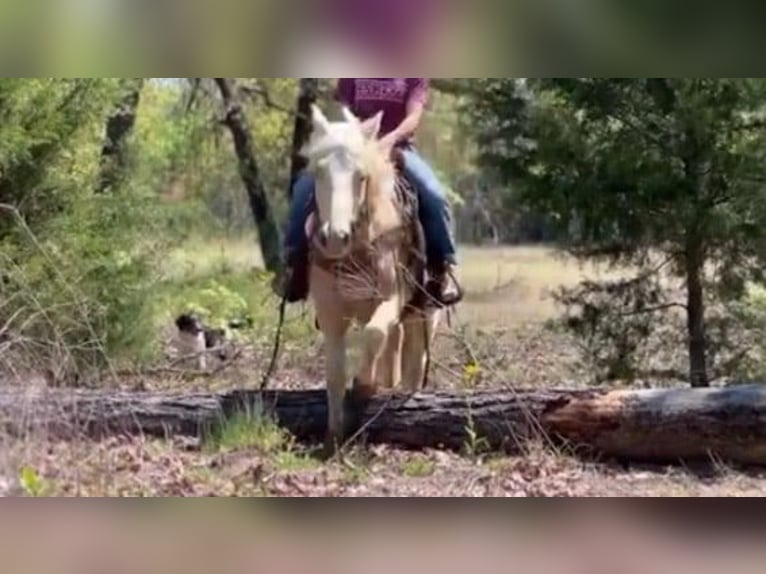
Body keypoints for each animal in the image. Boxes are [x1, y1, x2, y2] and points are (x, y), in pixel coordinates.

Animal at [301, 104, 441, 456]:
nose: (335, 238)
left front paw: (364, 385)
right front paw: (335, 434)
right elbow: (334, 371)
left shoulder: (392, 298)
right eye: (318, 172)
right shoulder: (330, 310)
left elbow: (374, 335)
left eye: (360, 176)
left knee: (413, 361)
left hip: (424, 314)